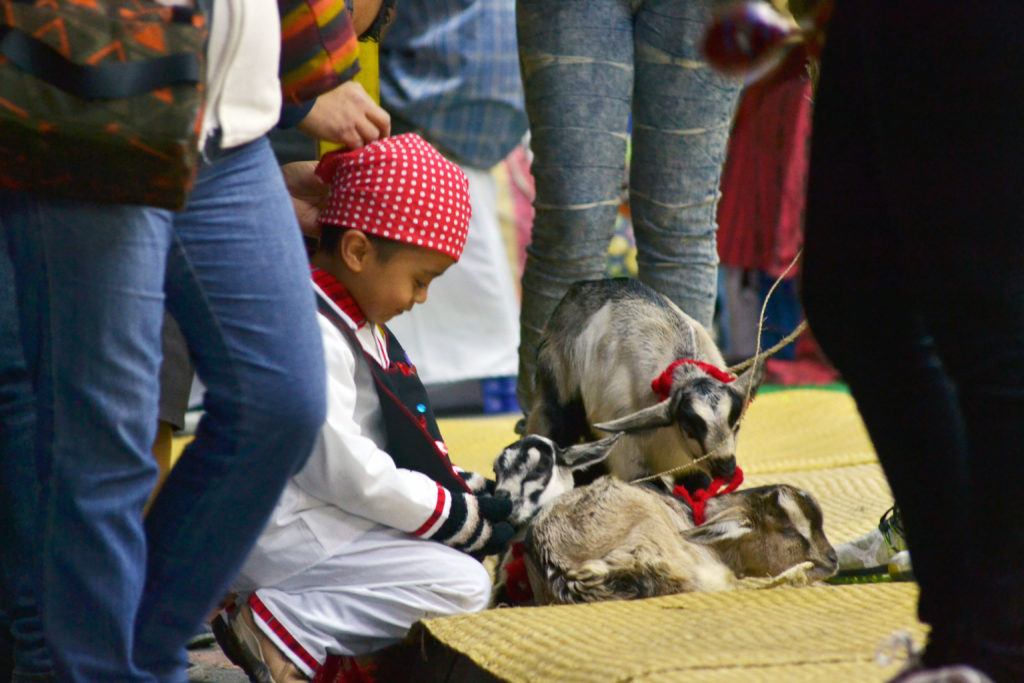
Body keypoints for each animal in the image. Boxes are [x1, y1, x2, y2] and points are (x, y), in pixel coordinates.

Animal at [524, 278, 765, 490]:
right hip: (557, 396)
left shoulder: (692, 469)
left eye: (736, 423)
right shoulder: (630, 458)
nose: (726, 468)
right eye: (690, 427)